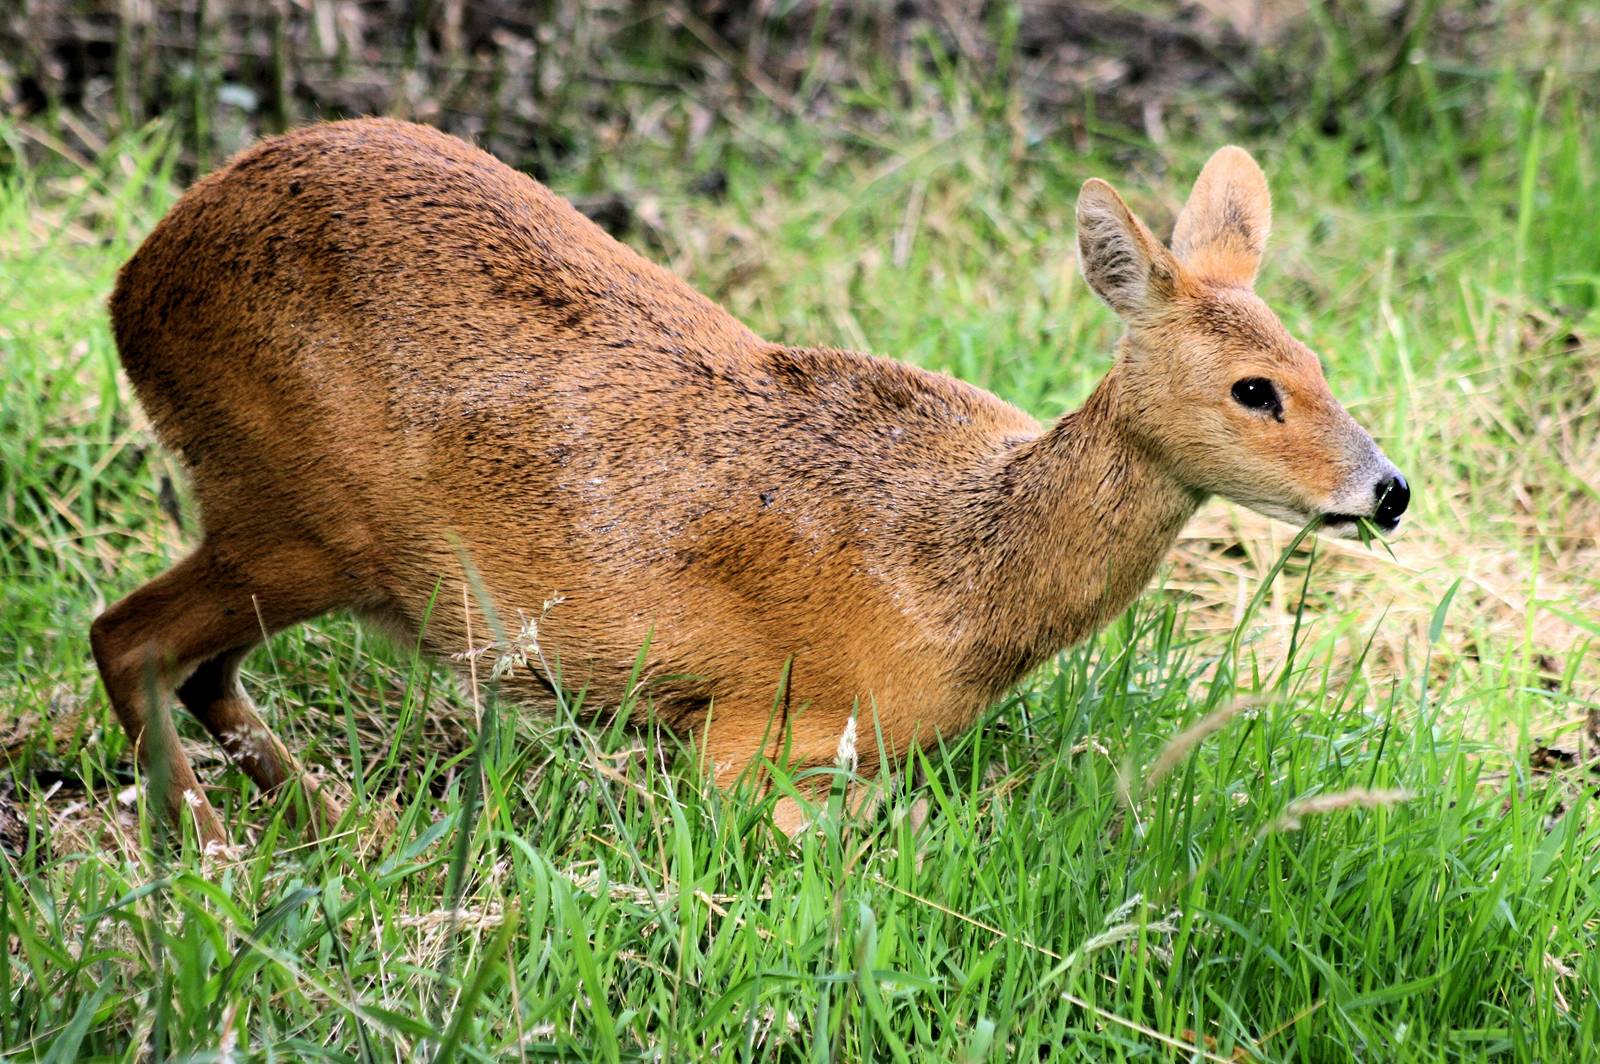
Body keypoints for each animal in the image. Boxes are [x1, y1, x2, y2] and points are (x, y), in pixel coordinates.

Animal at [92, 119, 1409, 848]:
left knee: (193, 664)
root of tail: (133, 283)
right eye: (1253, 388)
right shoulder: (752, 728)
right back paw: (209, 848)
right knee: (129, 637)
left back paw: (334, 824)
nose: (1387, 488)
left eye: (1318, 359)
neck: (959, 569)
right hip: (294, 509)